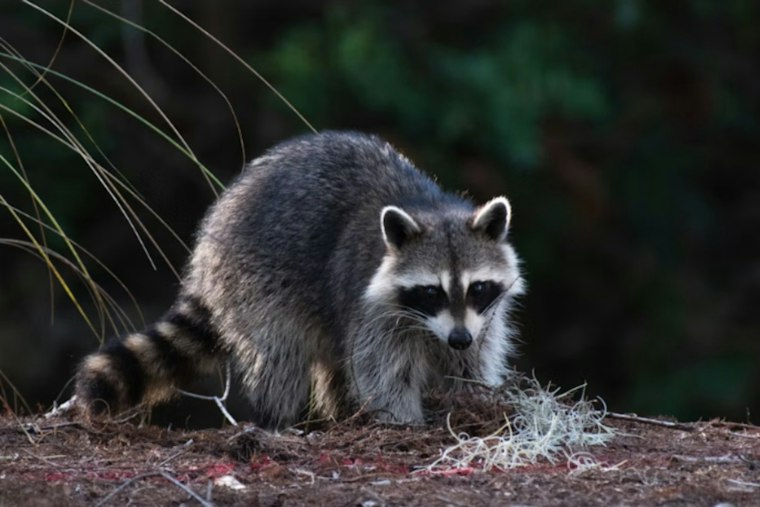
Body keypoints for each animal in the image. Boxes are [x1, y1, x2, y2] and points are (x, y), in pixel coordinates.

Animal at [75, 131, 525, 428]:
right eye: (431, 292)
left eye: (477, 287)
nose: (458, 338)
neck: (431, 209)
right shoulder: (372, 307)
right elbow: (383, 370)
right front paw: (402, 421)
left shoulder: (480, 318)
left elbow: (471, 360)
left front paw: (474, 399)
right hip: (256, 279)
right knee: (281, 353)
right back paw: (277, 420)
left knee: (334, 360)